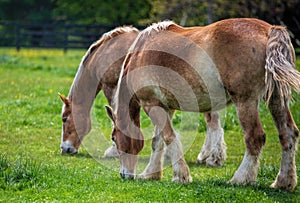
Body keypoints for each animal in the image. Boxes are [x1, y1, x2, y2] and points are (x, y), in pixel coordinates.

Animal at [106, 18, 300, 191]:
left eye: (114, 138)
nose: (124, 175)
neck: (139, 54)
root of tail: (269, 30)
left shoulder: (151, 104)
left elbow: (169, 137)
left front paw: (181, 176)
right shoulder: (165, 108)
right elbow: (158, 141)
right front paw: (151, 174)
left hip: (245, 102)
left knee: (255, 137)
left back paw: (240, 179)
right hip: (276, 99)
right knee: (288, 134)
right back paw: (283, 182)